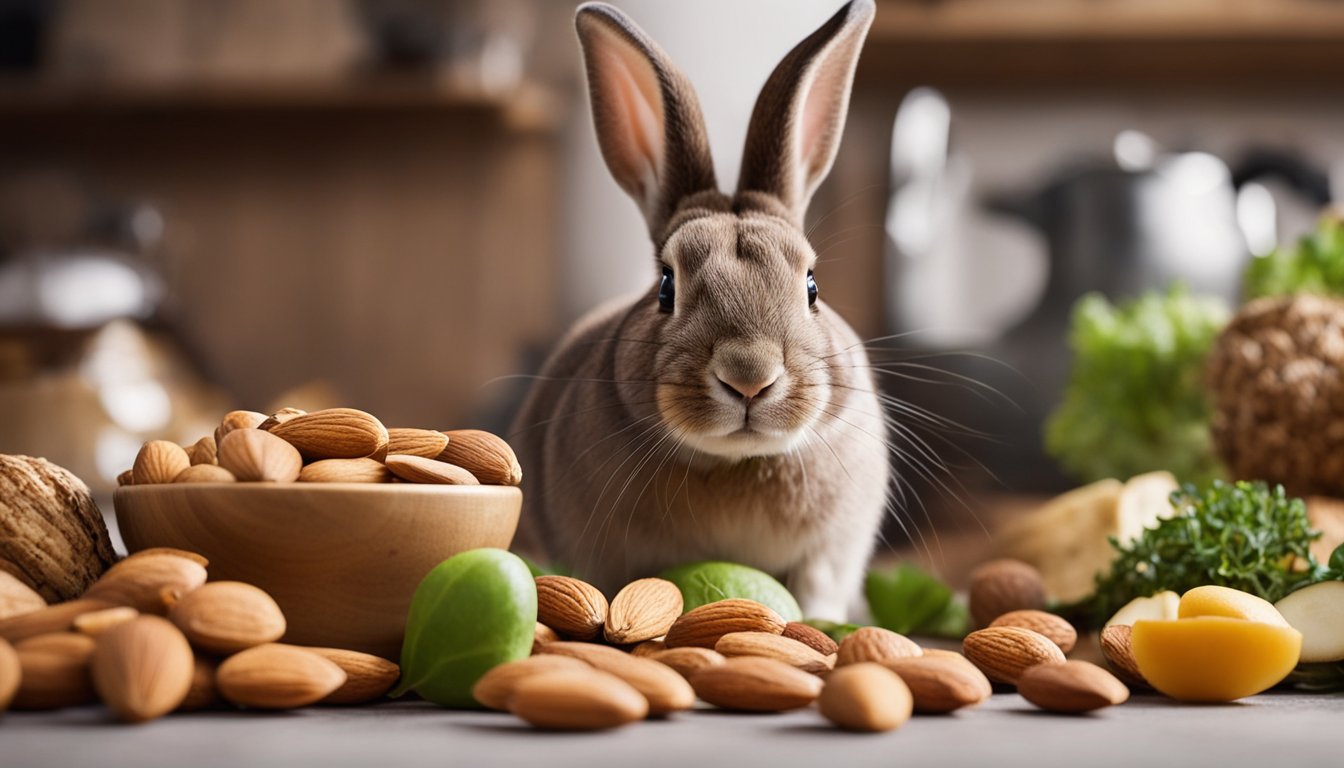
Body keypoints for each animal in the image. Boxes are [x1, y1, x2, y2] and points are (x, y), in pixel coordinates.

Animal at [511, 0, 888, 621]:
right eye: (667, 286)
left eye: (812, 286)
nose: (749, 376)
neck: (737, 461)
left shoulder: (830, 558)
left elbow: (817, 593)